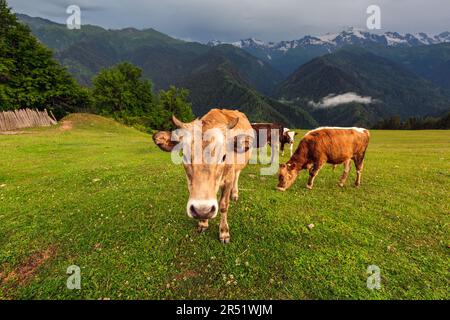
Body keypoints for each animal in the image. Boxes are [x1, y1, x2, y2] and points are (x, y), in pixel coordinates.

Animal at [153, 109, 253, 244]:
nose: (201, 210)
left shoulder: (228, 180)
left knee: (237, 175)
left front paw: (224, 232)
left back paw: (235, 194)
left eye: (224, 157)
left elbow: (223, 205)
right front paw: (203, 222)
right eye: (184, 156)